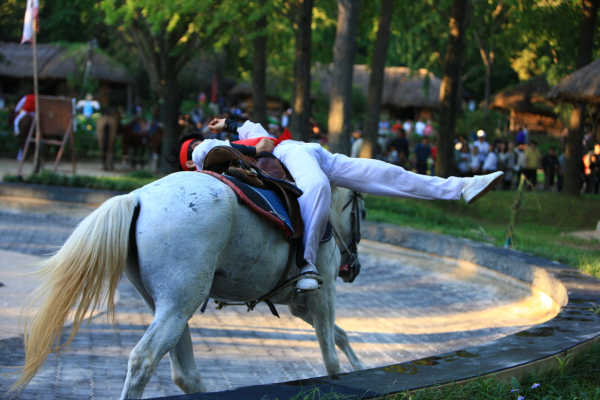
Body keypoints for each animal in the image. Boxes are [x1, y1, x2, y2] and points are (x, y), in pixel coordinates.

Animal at [15, 171, 366, 396]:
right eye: (361, 212)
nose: (353, 268)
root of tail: (137, 197)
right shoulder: (323, 295)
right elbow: (331, 357)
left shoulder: (299, 304)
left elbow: (340, 336)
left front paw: (360, 365)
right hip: (179, 305)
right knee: (144, 360)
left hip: (171, 306)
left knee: (184, 373)